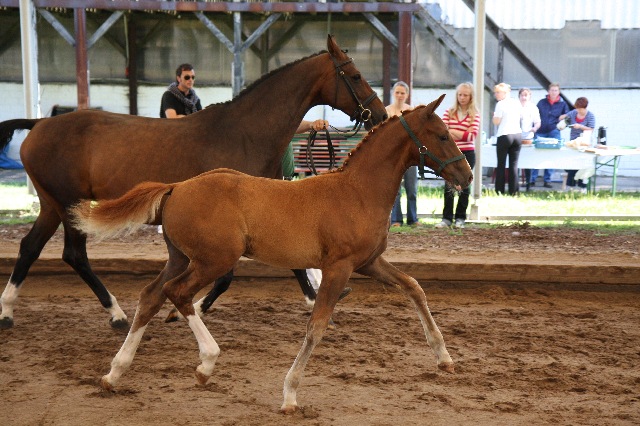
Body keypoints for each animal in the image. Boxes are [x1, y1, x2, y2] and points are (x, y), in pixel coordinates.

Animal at [0, 35, 387, 330]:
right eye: (354, 75)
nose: (380, 115)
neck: (243, 133)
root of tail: (38, 123)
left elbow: (292, 261)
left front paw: (316, 298)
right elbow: (227, 276)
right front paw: (187, 310)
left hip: (53, 204)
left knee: (31, 247)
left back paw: (7, 312)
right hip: (69, 204)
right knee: (74, 254)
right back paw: (117, 315)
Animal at [70, 95, 473, 413]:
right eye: (442, 135)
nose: (467, 177)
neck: (358, 191)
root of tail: (176, 187)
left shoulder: (368, 263)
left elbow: (413, 287)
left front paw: (445, 358)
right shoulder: (339, 267)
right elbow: (316, 326)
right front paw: (290, 395)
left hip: (182, 258)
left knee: (152, 295)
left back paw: (114, 373)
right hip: (214, 260)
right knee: (177, 294)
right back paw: (206, 363)